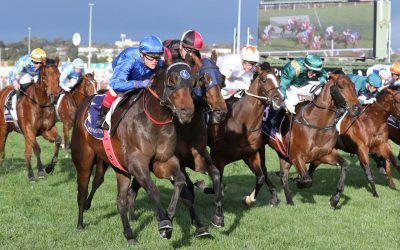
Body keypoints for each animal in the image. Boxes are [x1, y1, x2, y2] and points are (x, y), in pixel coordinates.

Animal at [71, 59, 198, 243]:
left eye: (193, 82)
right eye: (172, 81)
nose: (187, 112)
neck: (153, 120)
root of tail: (84, 104)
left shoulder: (163, 161)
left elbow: (180, 181)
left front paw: (170, 214)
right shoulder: (137, 163)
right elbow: (153, 189)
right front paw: (164, 223)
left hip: (118, 167)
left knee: (119, 199)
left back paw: (129, 234)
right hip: (84, 161)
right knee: (82, 191)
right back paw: (80, 223)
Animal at [264, 73, 360, 209]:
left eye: (354, 86)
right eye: (341, 86)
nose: (357, 108)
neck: (317, 124)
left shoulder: (323, 155)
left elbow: (344, 165)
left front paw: (335, 199)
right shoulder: (297, 157)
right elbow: (308, 180)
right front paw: (298, 181)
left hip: (283, 154)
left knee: (284, 175)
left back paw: (289, 201)